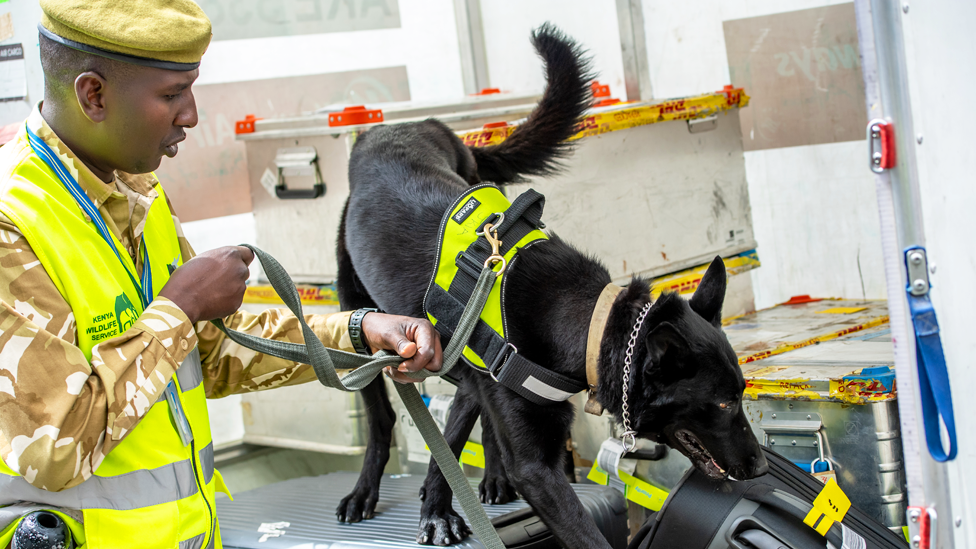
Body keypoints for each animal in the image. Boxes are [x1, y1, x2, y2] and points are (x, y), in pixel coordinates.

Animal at [336, 24, 772, 544]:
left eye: (742, 394)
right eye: (724, 403)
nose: (762, 467)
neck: (584, 323)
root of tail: (402, 126)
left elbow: (456, 436)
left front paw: (443, 503)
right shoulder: (536, 467)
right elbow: (582, 531)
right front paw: (437, 508)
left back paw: (483, 483)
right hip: (360, 323)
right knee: (382, 420)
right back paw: (365, 491)